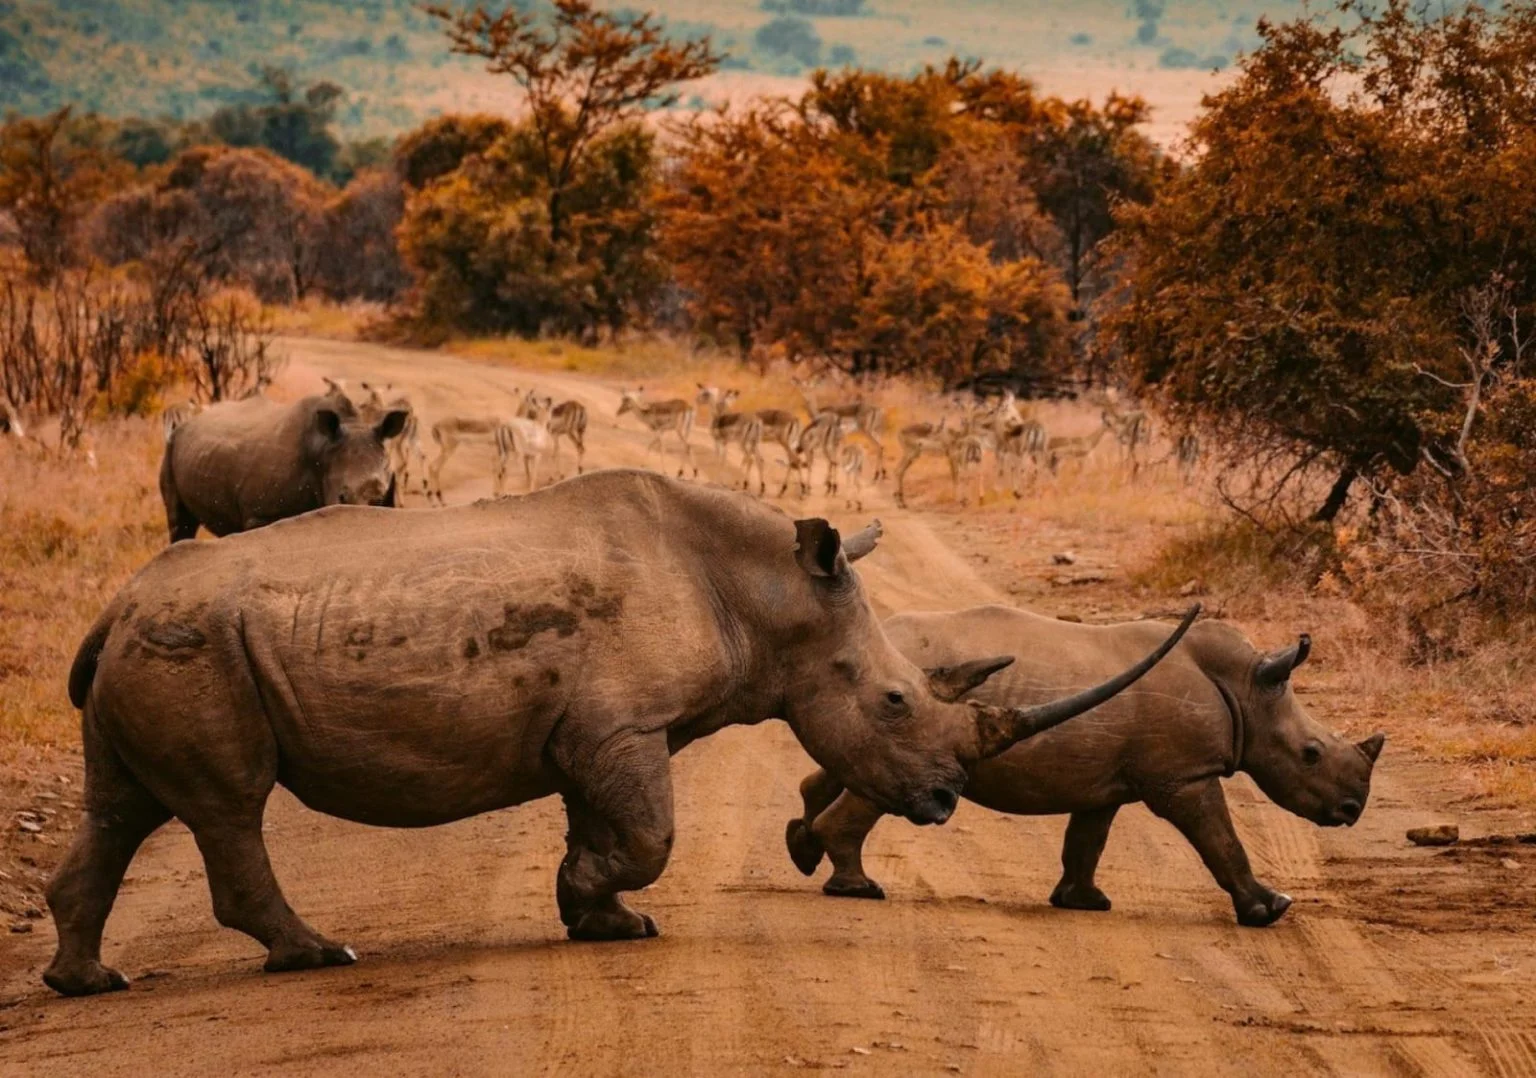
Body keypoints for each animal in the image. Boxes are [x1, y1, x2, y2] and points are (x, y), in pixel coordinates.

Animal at [44, 471, 1196, 997]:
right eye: (896, 702)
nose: (946, 801)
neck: (767, 594)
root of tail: (111, 605)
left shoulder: (600, 730)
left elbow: (604, 825)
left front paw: (597, 917)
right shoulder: (622, 727)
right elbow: (650, 834)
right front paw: (605, 904)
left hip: (158, 641)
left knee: (122, 807)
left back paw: (87, 982)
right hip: (195, 644)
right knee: (228, 805)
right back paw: (318, 955)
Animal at [158, 392, 409, 541]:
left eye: (384, 498)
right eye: (342, 497)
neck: (323, 451)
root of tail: (188, 422)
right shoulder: (259, 515)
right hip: (171, 447)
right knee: (180, 523)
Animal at [786, 606, 1384, 927]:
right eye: (1310, 754)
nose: (1353, 809)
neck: (1246, 689)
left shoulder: (1106, 782)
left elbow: (1087, 841)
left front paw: (1084, 904)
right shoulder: (1184, 777)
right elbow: (1221, 839)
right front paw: (1271, 909)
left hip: (881, 700)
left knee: (846, 766)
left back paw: (804, 849)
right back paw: (858, 888)